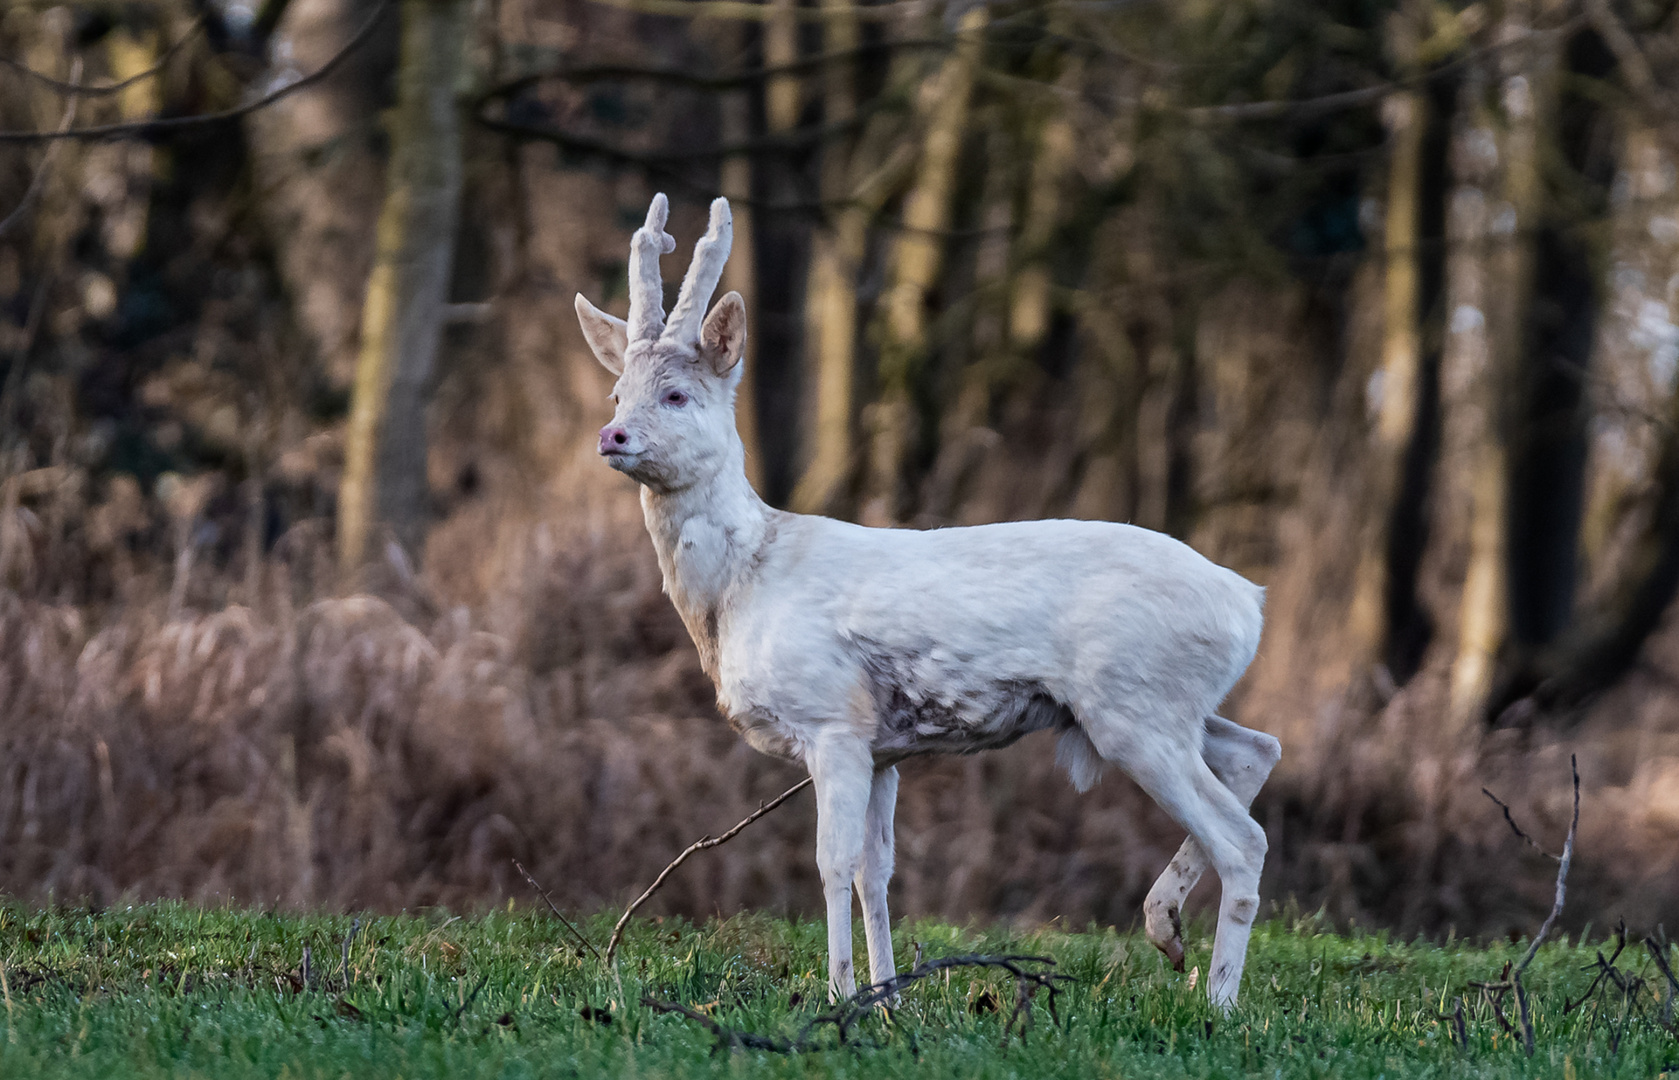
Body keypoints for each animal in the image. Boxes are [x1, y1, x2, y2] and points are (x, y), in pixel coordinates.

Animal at [570, 193, 1276, 1014]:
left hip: (1135, 705)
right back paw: (1165, 928)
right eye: (618, 392)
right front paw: (886, 998)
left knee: (1244, 837)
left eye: (677, 395)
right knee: (1258, 750)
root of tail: (1249, 604)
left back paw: (1218, 1002)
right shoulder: (886, 747)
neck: (745, 581)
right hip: (1156, 706)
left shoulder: (832, 720)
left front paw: (840, 994)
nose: (612, 434)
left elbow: (829, 862)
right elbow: (875, 869)